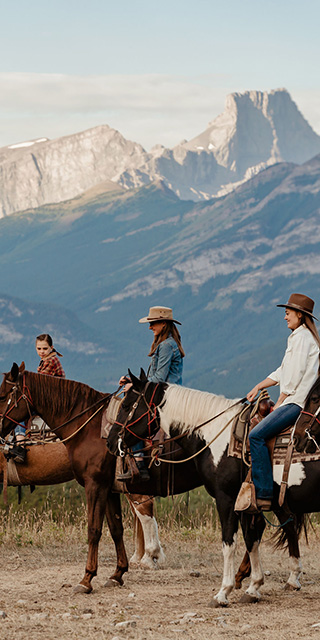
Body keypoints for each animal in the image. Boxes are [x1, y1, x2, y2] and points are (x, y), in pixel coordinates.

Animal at [107, 370, 316, 604]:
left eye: (127, 405)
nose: (111, 441)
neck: (215, 437)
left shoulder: (226, 498)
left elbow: (229, 543)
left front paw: (223, 592)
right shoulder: (246, 504)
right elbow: (251, 540)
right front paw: (253, 587)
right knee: (288, 527)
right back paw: (292, 578)